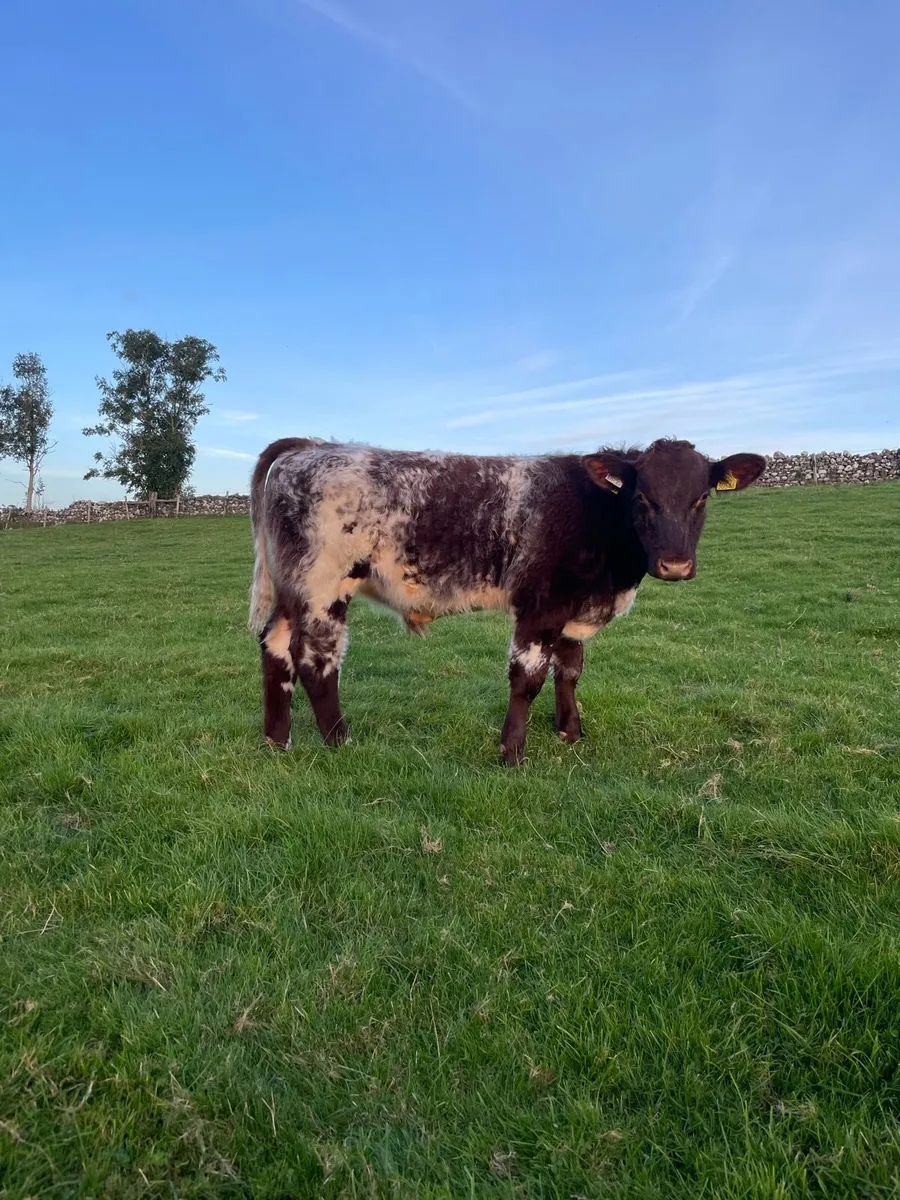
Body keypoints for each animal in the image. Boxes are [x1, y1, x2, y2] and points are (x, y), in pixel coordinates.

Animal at [248, 437, 765, 764]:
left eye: (701, 498)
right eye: (642, 497)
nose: (675, 565)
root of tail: (312, 448)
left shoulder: (573, 610)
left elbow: (570, 669)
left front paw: (570, 732)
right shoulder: (541, 605)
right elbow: (528, 678)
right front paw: (512, 751)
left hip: (293, 590)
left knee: (274, 647)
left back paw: (276, 739)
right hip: (323, 585)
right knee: (315, 659)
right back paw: (339, 739)